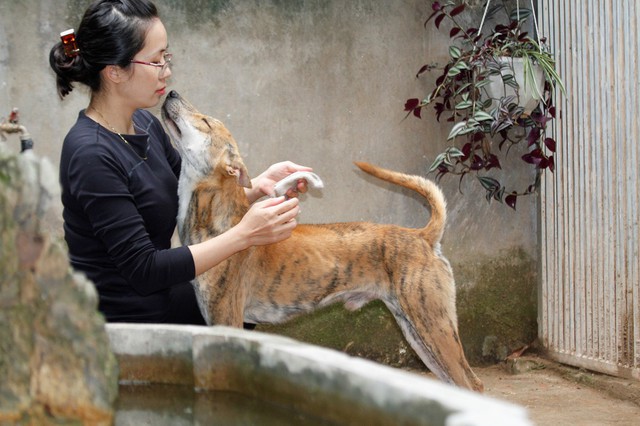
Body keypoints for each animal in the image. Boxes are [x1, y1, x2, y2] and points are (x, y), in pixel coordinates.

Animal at [162, 90, 482, 392]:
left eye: (205, 122)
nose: (172, 93)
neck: (220, 220)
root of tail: (422, 236)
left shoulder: (226, 319)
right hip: (416, 331)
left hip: (433, 324)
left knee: (472, 384)